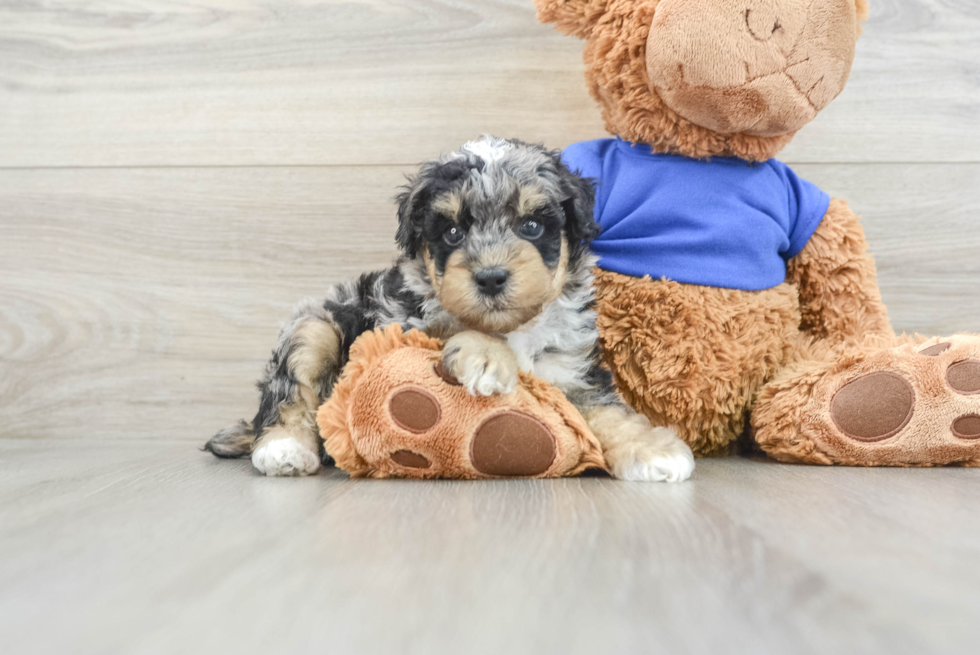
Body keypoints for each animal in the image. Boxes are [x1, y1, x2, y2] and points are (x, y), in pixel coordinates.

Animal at [205, 136, 696, 482]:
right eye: (454, 232)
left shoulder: (571, 372)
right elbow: (447, 326)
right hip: (315, 325)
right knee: (289, 389)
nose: (491, 278)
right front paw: (487, 359)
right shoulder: (396, 324)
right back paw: (284, 449)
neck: (514, 330)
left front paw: (653, 449)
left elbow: (610, 410)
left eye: (532, 225)